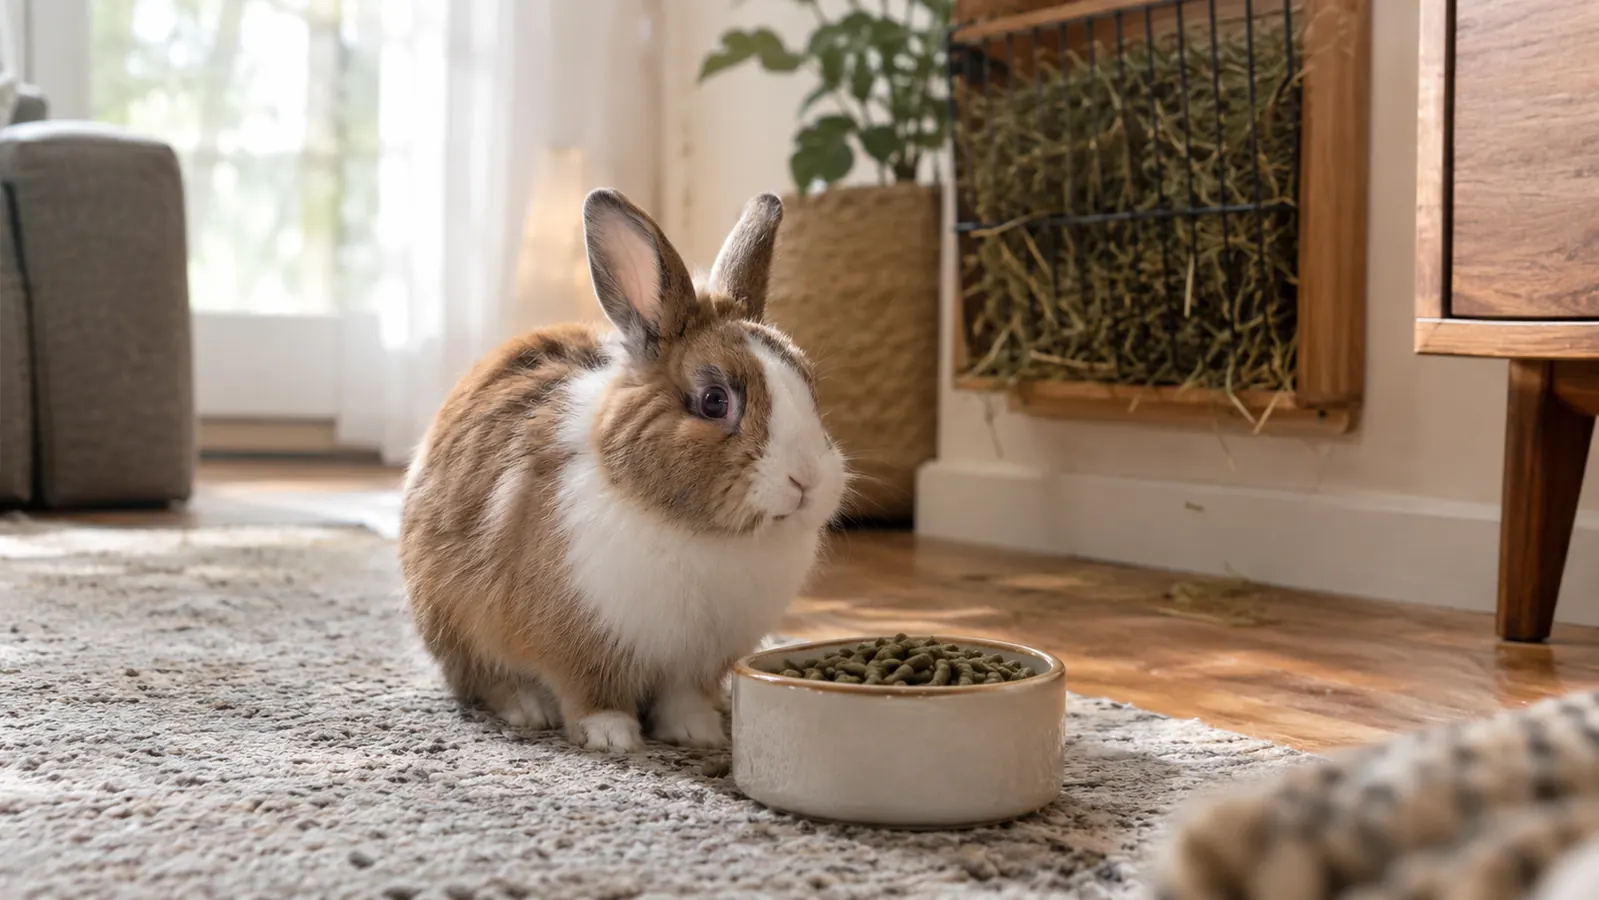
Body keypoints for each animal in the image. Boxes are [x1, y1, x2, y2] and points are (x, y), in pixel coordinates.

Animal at [398, 188, 849, 753]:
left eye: (808, 385)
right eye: (714, 400)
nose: (806, 480)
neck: (698, 532)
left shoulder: (694, 664)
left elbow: (683, 698)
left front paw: (697, 734)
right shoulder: (579, 646)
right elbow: (593, 692)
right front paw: (612, 737)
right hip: (453, 624)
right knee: (482, 679)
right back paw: (528, 710)